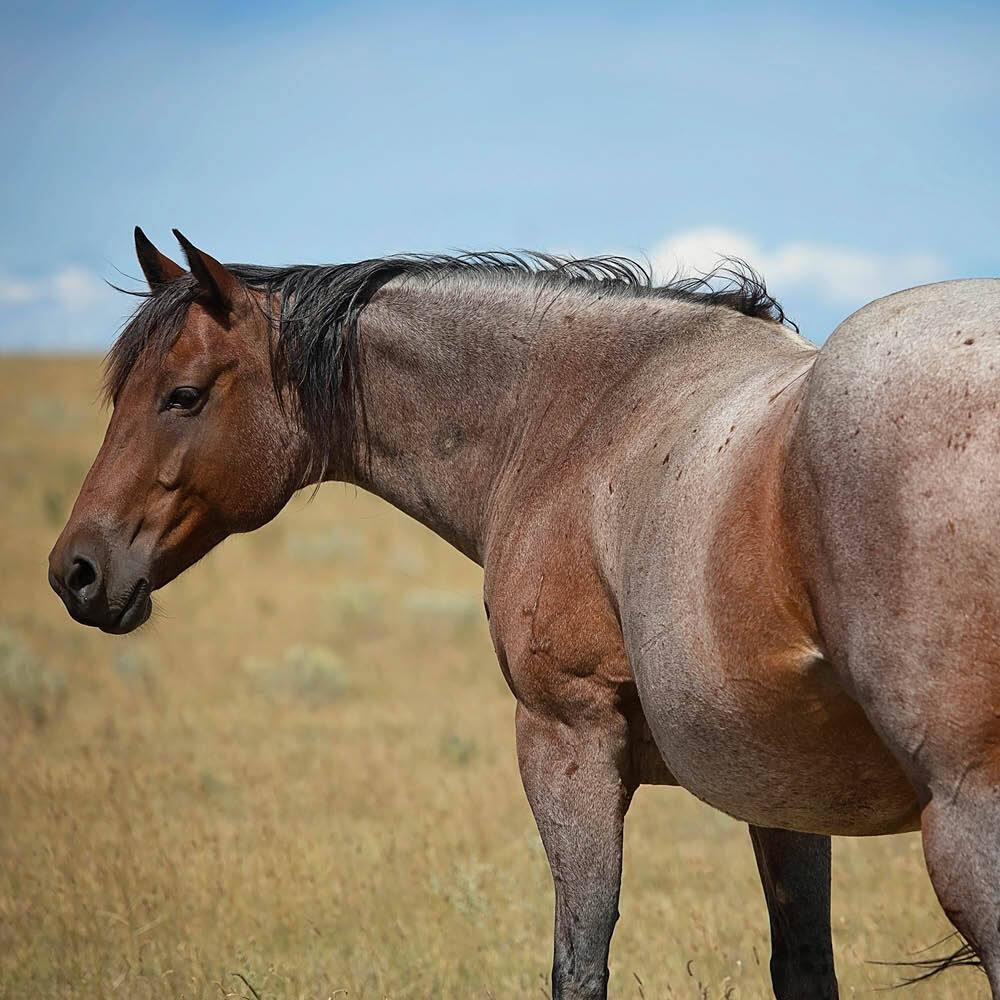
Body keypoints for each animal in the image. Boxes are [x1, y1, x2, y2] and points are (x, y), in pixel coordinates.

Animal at [47, 227, 1000, 999]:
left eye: (182, 395)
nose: (75, 571)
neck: (583, 415)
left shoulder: (565, 737)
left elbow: (578, 959)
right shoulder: (779, 791)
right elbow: (801, 965)